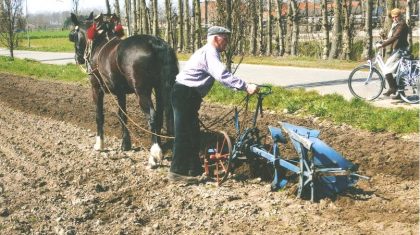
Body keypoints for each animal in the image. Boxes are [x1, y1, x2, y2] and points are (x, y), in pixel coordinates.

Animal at [69, 12, 178, 167]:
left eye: (73, 35)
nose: (78, 58)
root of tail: (155, 43)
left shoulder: (96, 89)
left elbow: (99, 116)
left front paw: (99, 144)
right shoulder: (120, 93)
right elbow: (122, 115)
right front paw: (126, 144)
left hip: (142, 92)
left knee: (152, 116)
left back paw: (154, 155)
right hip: (160, 89)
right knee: (162, 116)